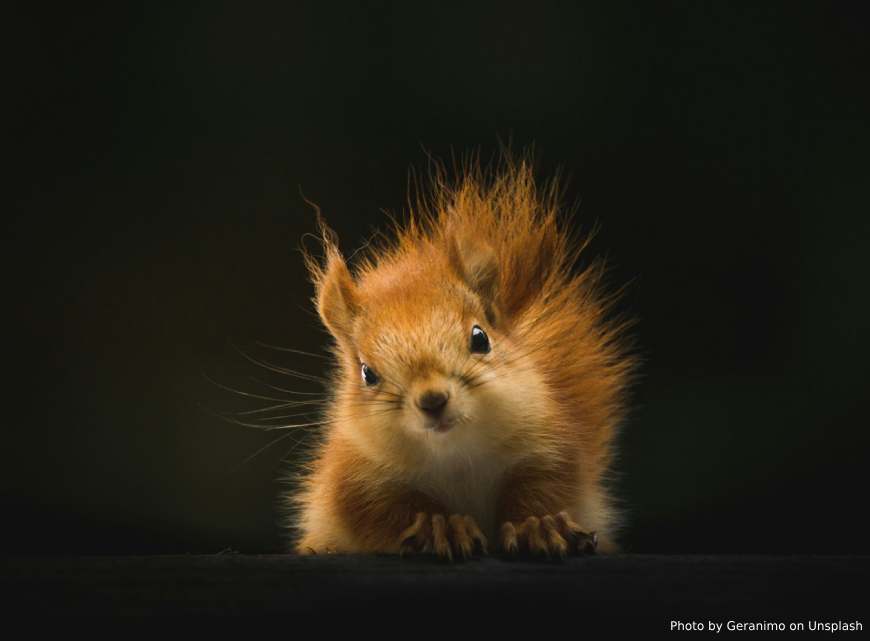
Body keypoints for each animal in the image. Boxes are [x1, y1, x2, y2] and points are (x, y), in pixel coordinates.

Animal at [290, 158, 636, 556]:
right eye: (367, 373)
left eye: (480, 338)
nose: (432, 400)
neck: (456, 454)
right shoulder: (355, 479)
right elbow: (385, 512)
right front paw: (440, 527)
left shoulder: (550, 446)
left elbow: (544, 489)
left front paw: (539, 525)